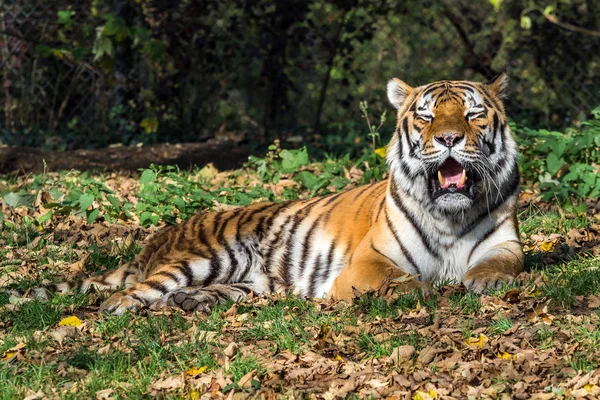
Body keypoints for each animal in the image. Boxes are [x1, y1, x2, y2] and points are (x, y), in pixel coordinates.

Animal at [21, 73, 524, 314]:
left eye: (473, 114)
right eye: (425, 117)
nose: (449, 139)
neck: (449, 216)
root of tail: (159, 238)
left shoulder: (507, 244)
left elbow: (501, 264)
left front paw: (485, 280)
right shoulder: (369, 261)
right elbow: (401, 281)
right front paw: (426, 287)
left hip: (251, 279)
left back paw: (190, 302)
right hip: (203, 258)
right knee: (133, 292)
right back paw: (122, 308)